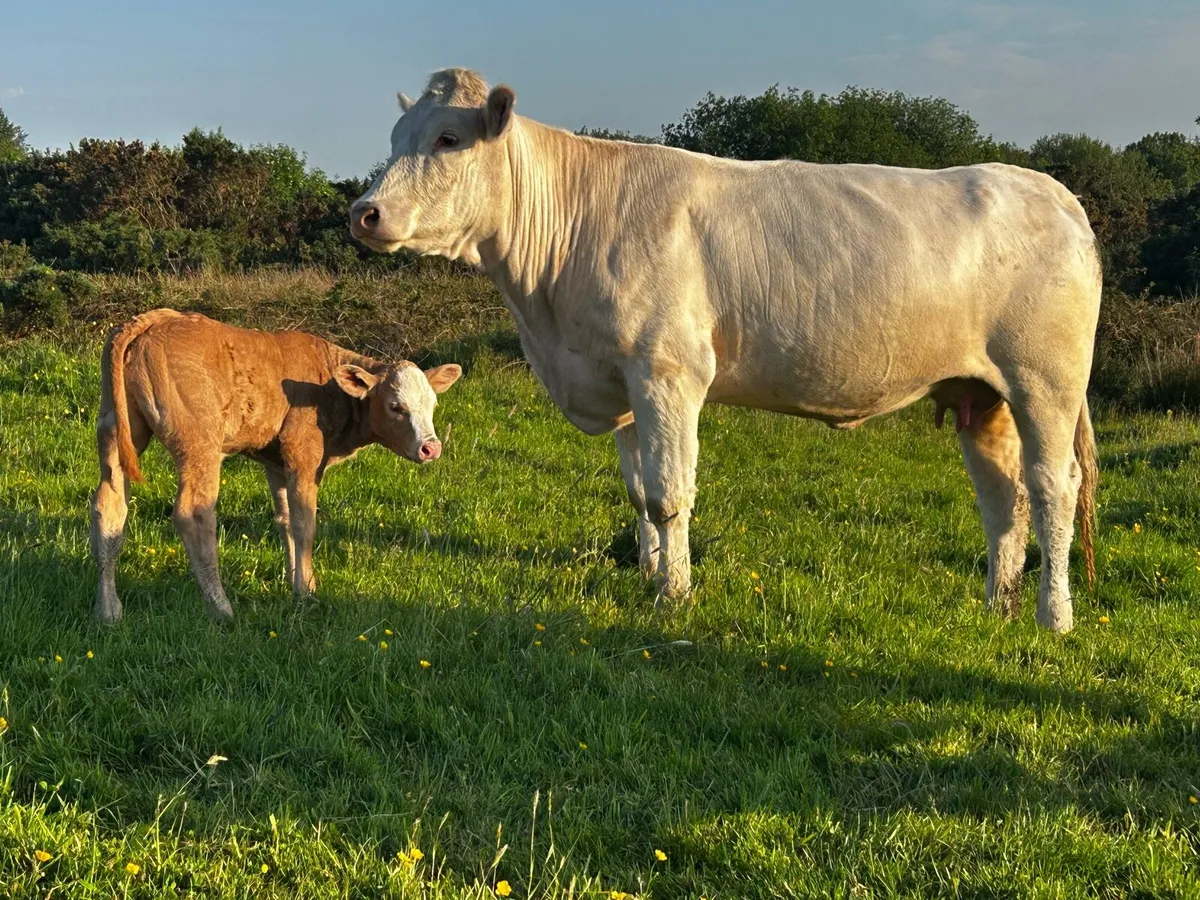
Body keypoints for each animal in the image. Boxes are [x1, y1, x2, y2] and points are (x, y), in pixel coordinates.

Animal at [89, 308, 461, 622]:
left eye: (433, 404)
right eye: (396, 406)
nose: (431, 448)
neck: (328, 385)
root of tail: (154, 319)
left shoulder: (276, 462)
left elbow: (284, 520)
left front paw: (293, 579)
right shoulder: (304, 454)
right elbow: (304, 522)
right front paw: (306, 591)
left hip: (115, 429)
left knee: (109, 506)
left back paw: (109, 610)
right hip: (198, 442)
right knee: (193, 513)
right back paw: (221, 607)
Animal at [348, 68, 1100, 632]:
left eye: (448, 138)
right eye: (395, 138)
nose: (364, 212)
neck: (548, 318)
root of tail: (1053, 191)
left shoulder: (667, 371)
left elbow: (669, 493)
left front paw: (673, 595)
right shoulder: (620, 378)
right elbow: (638, 491)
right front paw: (651, 572)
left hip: (1046, 380)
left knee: (1053, 487)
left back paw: (1053, 617)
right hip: (983, 393)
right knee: (1003, 497)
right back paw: (997, 606)